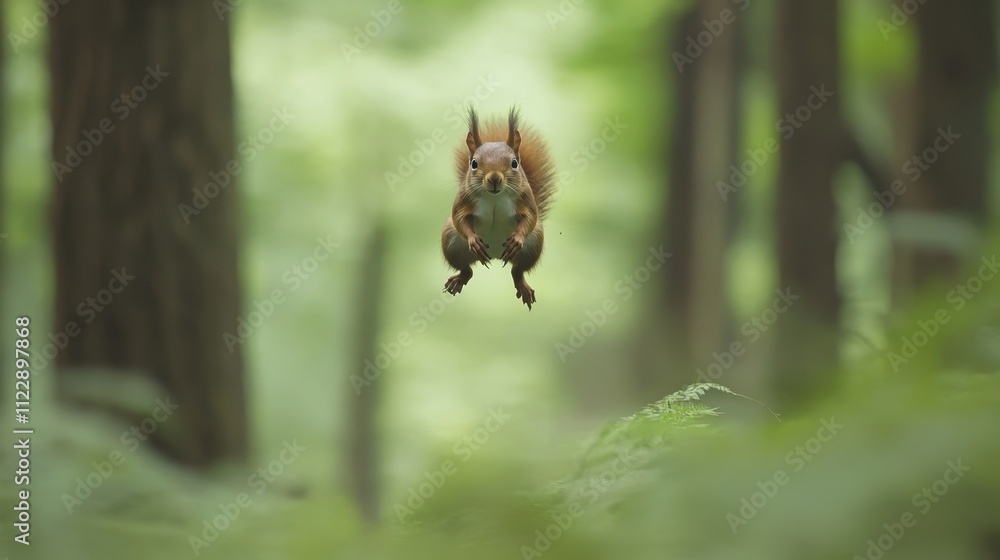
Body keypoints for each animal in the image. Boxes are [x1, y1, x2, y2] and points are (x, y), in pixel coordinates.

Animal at [441, 107, 555, 310]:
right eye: (474, 163)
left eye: (514, 163)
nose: (494, 178)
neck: (494, 196)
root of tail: (495, 256)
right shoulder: (464, 199)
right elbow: (458, 217)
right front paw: (473, 240)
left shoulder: (525, 198)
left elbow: (530, 217)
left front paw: (517, 239)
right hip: (451, 241)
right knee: (466, 269)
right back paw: (460, 278)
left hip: (534, 243)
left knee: (518, 270)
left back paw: (522, 285)